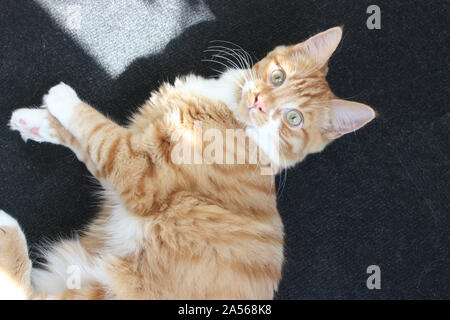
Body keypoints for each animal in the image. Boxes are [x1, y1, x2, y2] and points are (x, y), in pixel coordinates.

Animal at [1, 27, 374, 300]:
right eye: (278, 77)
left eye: (293, 118)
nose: (258, 103)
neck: (230, 114)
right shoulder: (133, 143)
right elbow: (87, 139)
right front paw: (34, 122)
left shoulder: (139, 172)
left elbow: (96, 128)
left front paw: (61, 99)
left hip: (105, 290)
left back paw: (7, 227)